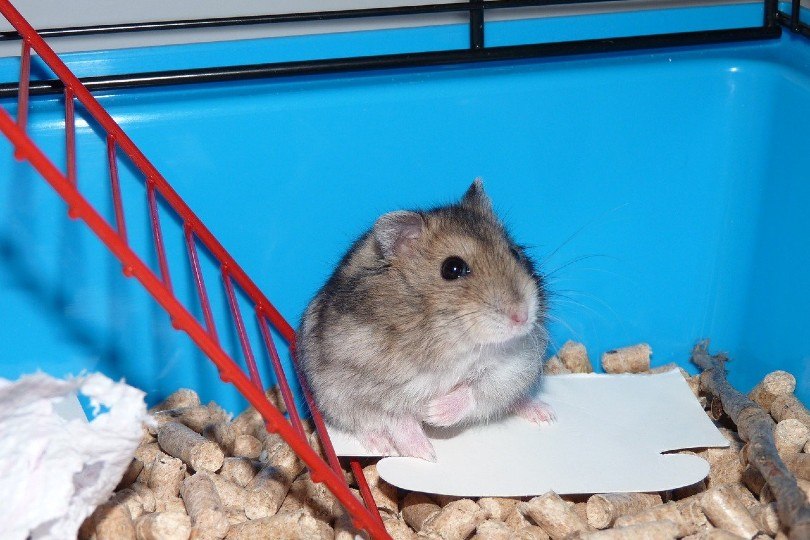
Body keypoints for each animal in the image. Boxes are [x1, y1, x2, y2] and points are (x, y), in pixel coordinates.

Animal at [297, 179, 553, 461]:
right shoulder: (357, 384)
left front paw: (433, 413)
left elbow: (476, 388)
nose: (522, 317)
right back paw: (381, 445)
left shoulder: (515, 362)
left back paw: (544, 413)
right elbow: (395, 418)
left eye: (515, 253)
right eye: (452, 268)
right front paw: (427, 452)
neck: (448, 340)